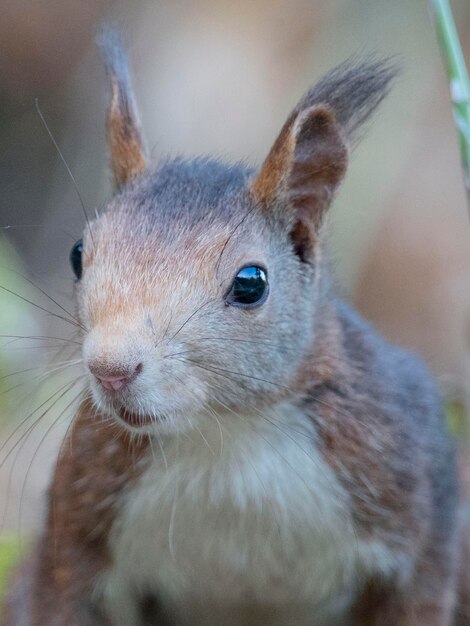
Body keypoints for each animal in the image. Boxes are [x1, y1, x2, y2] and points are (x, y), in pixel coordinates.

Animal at [0, 28, 466, 624]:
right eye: (79, 254)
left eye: (251, 283)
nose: (110, 369)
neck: (227, 438)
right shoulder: (79, 511)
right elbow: (61, 596)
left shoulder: (416, 489)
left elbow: (421, 589)